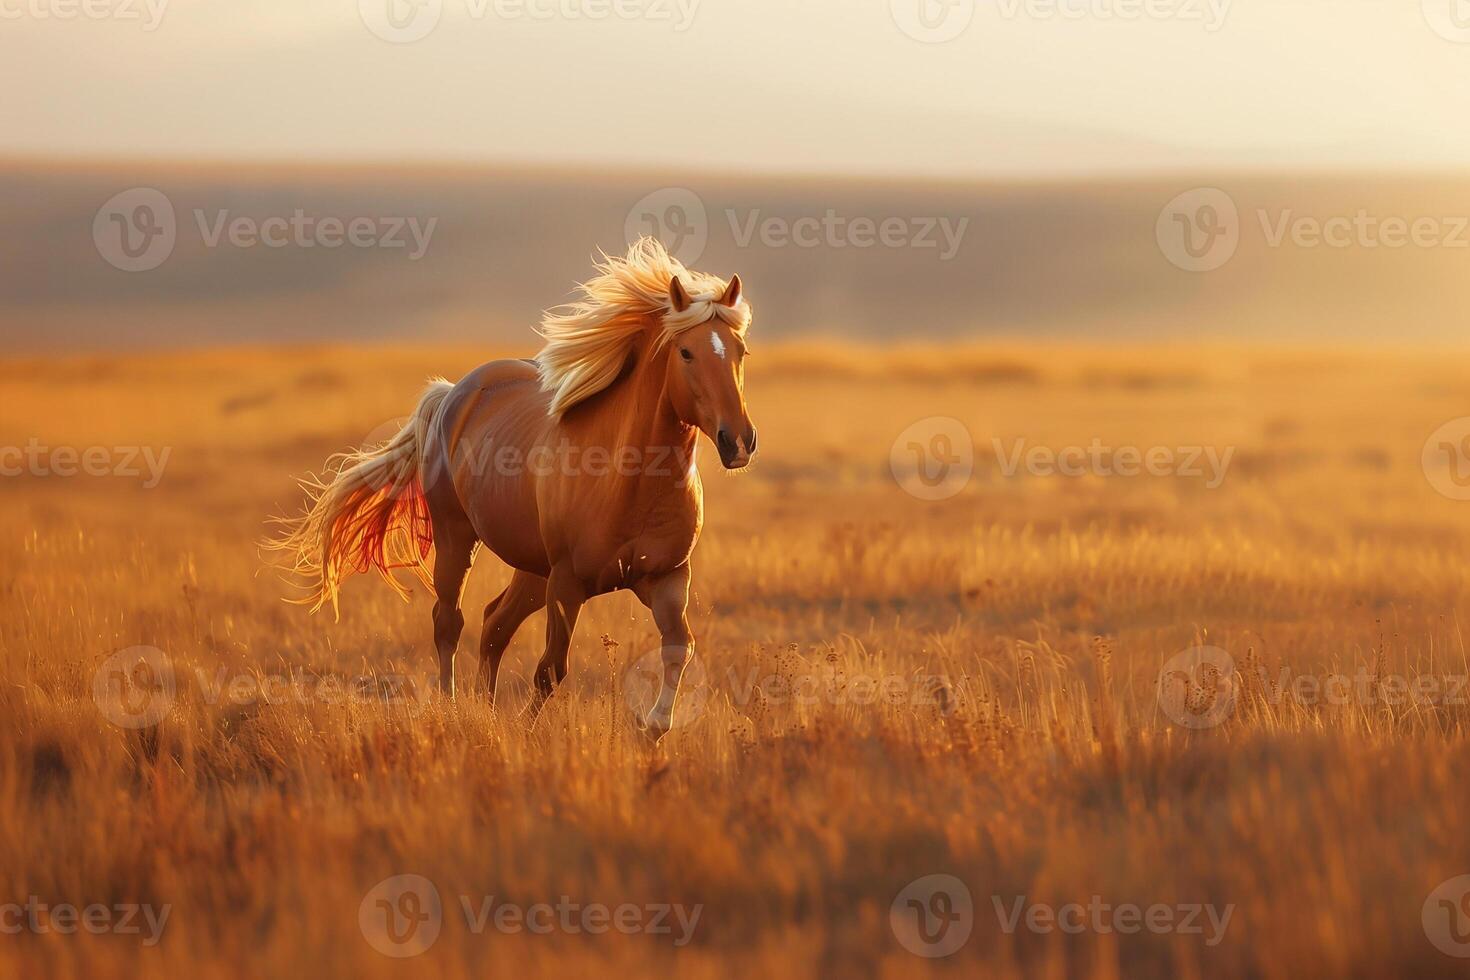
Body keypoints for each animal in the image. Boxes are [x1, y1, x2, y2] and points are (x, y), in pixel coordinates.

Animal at [267, 239, 758, 743]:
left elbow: (680, 647)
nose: (738, 441)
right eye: (686, 352)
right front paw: (526, 732)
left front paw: (652, 727)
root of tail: (453, 393)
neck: (629, 481)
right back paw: (453, 707)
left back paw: (484, 709)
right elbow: (551, 669)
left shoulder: (666, 578)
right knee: (449, 622)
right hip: (458, 539)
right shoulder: (568, 583)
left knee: (494, 624)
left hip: (533, 569)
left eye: (740, 350)